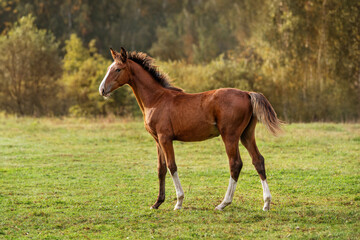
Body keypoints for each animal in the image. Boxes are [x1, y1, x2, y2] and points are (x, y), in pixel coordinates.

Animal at [98, 47, 282, 211]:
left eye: (118, 69)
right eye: (109, 69)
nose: (102, 89)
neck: (156, 99)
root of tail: (247, 93)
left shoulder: (165, 138)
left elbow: (172, 166)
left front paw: (179, 202)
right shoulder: (157, 140)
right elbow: (161, 169)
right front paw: (157, 203)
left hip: (230, 135)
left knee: (235, 163)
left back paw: (223, 204)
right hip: (246, 135)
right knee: (258, 160)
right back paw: (266, 203)